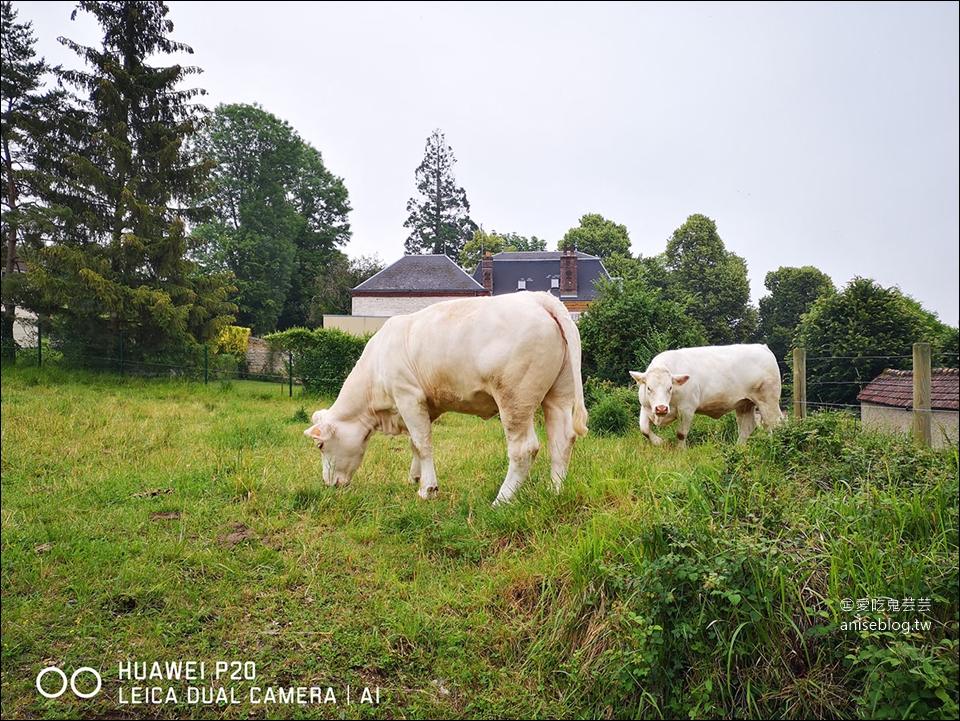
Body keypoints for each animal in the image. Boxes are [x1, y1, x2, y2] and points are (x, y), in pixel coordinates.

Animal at [308, 290, 588, 504]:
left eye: (320, 445)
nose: (327, 483)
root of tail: (539, 297)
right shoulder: (424, 405)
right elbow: (415, 443)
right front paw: (416, 478)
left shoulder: (408, 397)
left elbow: (423, 444)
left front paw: (427, 490)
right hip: (558, 395)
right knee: (562, 440)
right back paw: (554, 491)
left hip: (515, 399)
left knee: (524, 449)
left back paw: (502, 500)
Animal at [632, 344, 780, 450]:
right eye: (649, 388)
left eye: (670, 387)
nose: (661, 408)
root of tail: (761, 347)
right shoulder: (645, 407)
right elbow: (644, 430)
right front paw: (660, 442)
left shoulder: (686, 409)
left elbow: (681, 433)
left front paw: (680, 451)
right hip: (744, 403)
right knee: (746, 428)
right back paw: (738, 449)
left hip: (768, 400)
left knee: (775, 423)